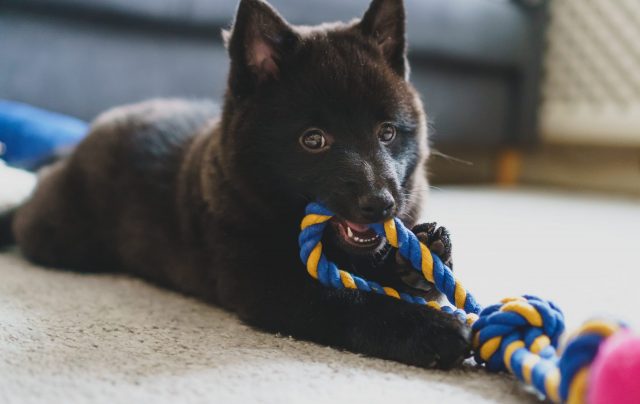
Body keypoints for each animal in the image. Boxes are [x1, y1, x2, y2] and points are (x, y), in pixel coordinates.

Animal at [0, 0, 470, 370]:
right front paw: (432, 329)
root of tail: (83, 140)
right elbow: (350, 303)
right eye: (313, 140)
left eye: (387, 132)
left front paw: (417, 257)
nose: (381, 203)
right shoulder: (270, 285)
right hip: (59, 235)